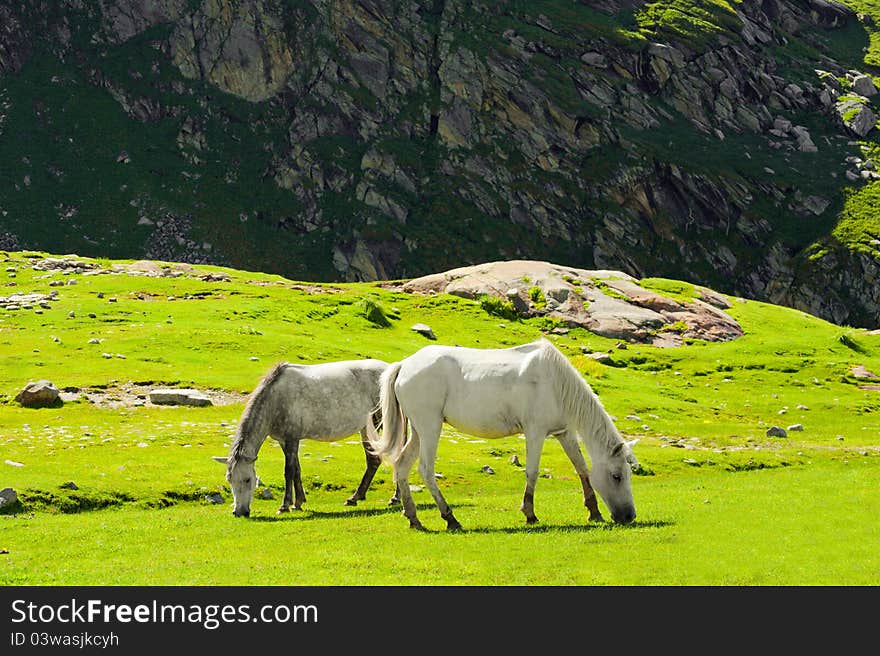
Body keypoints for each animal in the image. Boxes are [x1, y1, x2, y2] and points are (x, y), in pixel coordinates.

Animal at [218, 358, 398, 516]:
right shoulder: (284, 441)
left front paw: (285, 506)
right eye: (229, 480)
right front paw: (298, 502)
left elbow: (289, 471)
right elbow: (296, 469)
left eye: (248, 480)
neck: (275, 400)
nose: (239, 512)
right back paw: (358, 498)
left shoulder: (292, 439)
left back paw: (388, 498)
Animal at [366, 338, 640, 532]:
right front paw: (529, 513)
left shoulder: (564, 433)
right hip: (430, 426)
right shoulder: (535, 432)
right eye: (616, 476)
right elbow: (532, 472)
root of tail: (405, 365)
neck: (555, 383)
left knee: (402, 466)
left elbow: (582, 468)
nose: (629, 516)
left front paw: (594, 512)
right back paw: (450, 518)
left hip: (419, 431)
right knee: (425, 470)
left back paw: (414, 519)